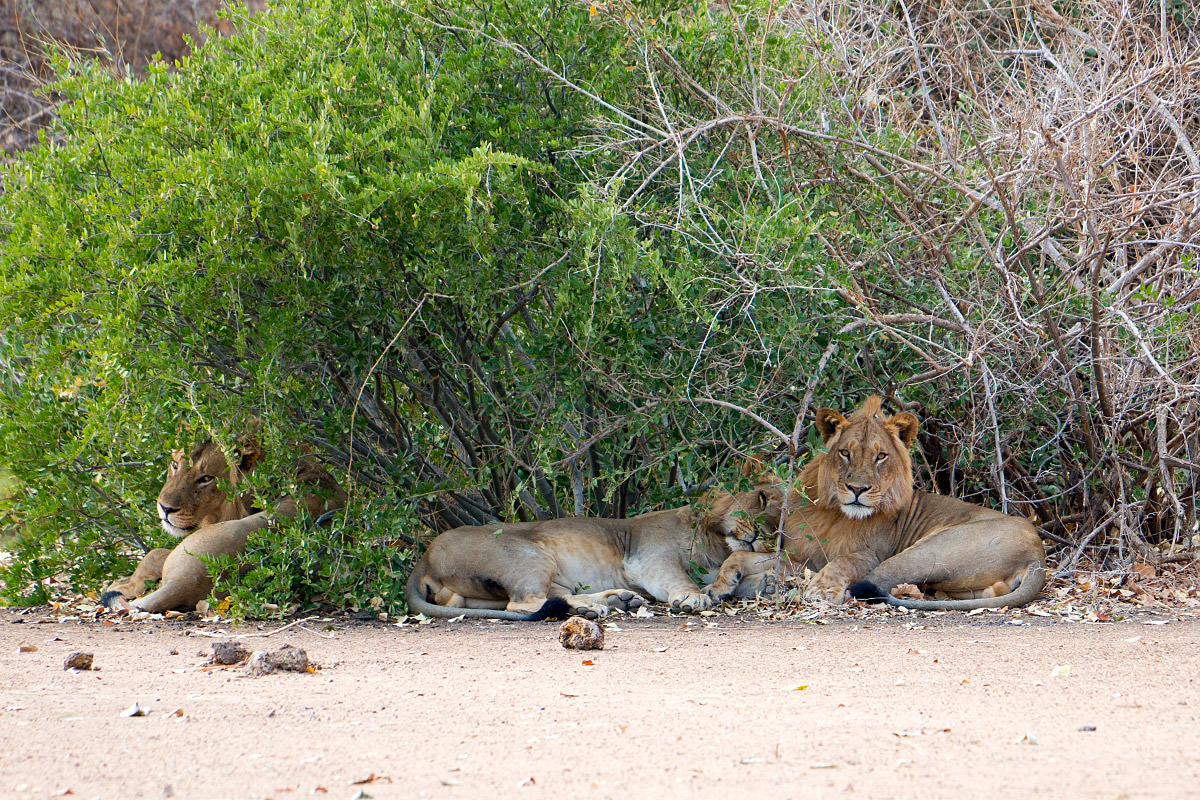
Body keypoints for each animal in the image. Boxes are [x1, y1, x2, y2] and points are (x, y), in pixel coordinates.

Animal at [99, 424, 348, 614]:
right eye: (175, 465)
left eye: (205, 478)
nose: (165, 509)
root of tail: (183, 583)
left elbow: (153, 554)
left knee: (152, 559)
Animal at [410, 479, 787, 623]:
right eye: (760, 501)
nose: (762, 534)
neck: (714, 542)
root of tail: (424, 557)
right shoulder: (648, 557)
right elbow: (681, 579)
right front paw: (693, 598)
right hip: (528, 555)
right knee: (523, 604)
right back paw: (596, 608)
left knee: (539, 599)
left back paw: (616, 601)